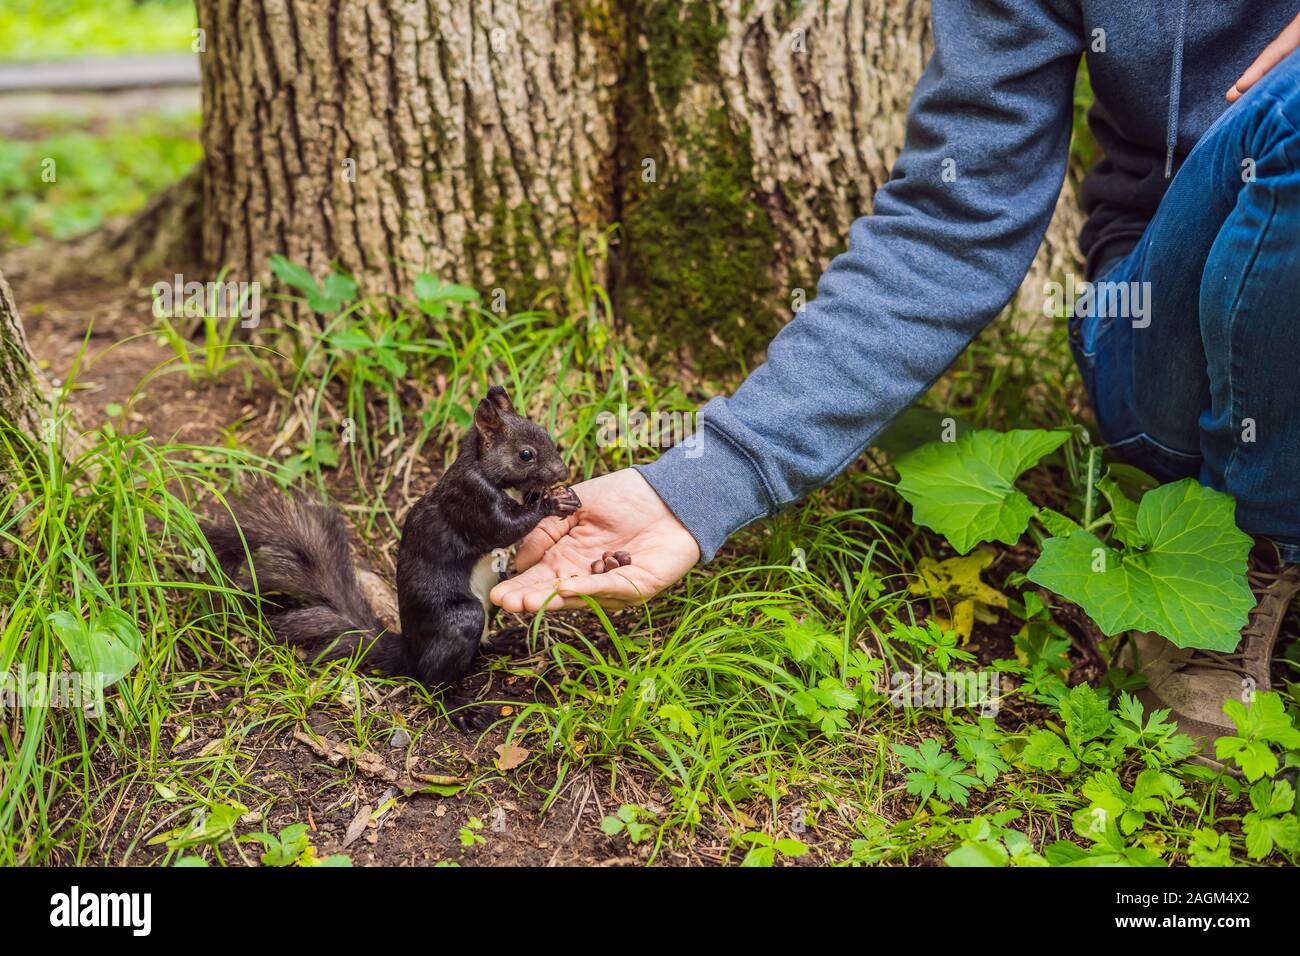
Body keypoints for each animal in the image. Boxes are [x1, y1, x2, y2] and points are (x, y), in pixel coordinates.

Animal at [202, 386, 582, 730]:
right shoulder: (471, 499)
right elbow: (504, 529)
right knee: (432, 680)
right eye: (525, 454)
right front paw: (552, 503)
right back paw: (461, 709)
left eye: (546, 433)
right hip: (459, 620)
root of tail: (410, 651)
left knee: (480, 646)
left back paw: (504, 641)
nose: (562, 472)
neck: (488, 472)